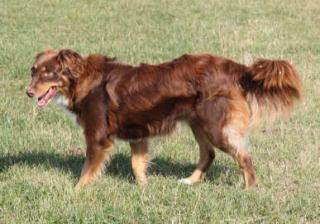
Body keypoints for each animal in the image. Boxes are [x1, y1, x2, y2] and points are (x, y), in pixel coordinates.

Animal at [26, 49, 302, 189]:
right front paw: (144, 188)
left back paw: (249, 189)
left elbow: (87, 171)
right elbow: (137, 164)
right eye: (33, 71)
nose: (28, 92)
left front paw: (76, 193)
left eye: (48, 73)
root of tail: (237, 68)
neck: (81, 79)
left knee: (243, 156)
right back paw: (190, 181)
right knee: (208, 154)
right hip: (197, 122)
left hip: (215, 126)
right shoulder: (138, 134)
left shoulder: (98, 137)